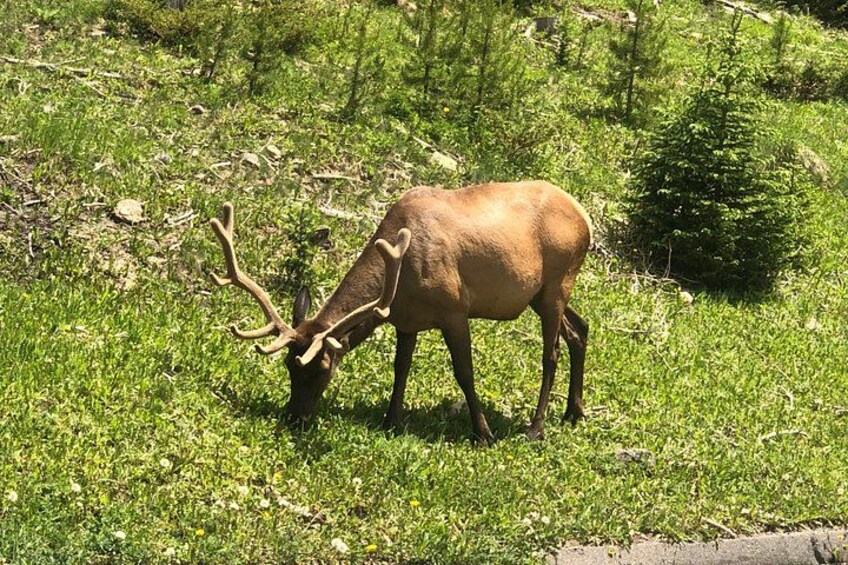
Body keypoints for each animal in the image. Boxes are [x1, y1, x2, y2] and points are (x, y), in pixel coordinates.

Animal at [210, 180, 592, 444]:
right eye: (289, 365)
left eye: (321, 369)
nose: (293, 416)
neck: (401, 278)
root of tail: (585, 218)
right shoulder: (406, 321)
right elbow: (401, 368)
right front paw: (391, 420)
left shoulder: (455, 309)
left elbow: (464, 373)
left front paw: (482, 433)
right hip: (541, 294)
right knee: (580, 328)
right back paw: (574, 411)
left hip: (557, 282)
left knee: (551, 354)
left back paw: (536, 427)